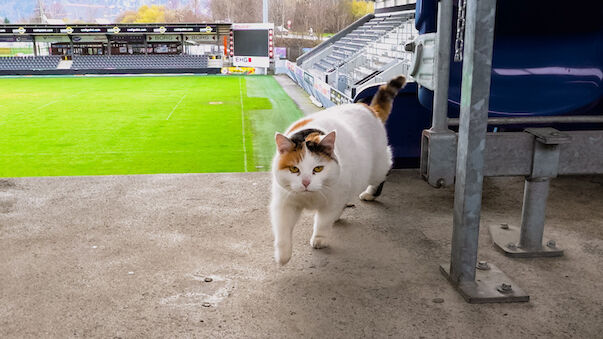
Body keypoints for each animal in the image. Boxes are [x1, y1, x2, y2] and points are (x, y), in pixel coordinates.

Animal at [270, 75, 406, 266]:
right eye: (294, 169)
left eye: (318, 168)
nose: (305, 183)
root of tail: (367, 107)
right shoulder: (284, 202)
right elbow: (282, 229)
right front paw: (282, 255)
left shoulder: (332, 200)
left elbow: (323, 222)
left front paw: (319, 238)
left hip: (377, 166)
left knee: (384, 171)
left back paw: (370, 193)